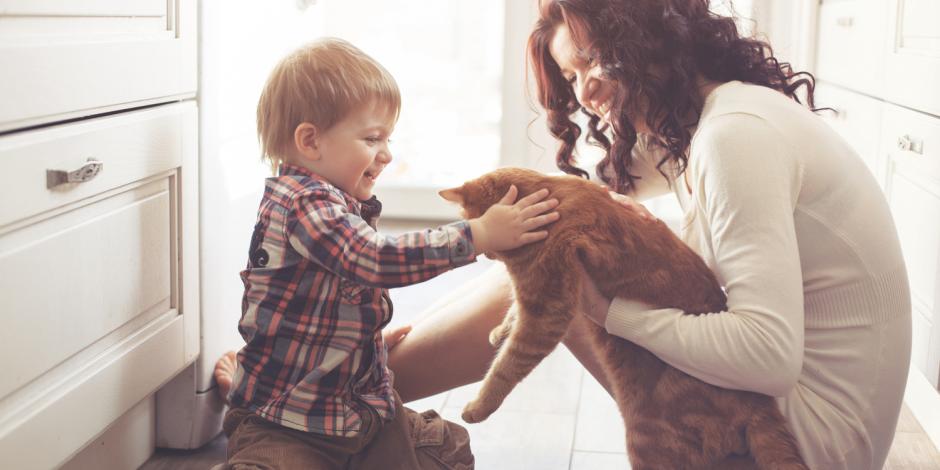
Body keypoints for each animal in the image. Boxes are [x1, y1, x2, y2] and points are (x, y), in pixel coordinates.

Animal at [440, 168, 808, 470]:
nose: (485, 254)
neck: (547, 197)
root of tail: (759, 403)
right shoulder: (535, 296)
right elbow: (512, 313)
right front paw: (499, 330)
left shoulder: (547, 309)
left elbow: (506, 367)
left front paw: (478, 406)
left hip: (648, 443)